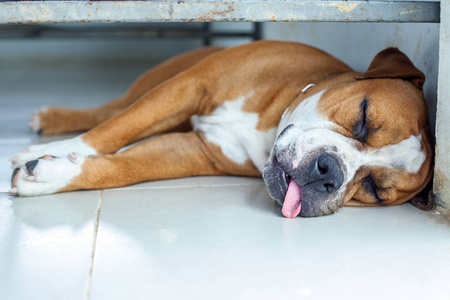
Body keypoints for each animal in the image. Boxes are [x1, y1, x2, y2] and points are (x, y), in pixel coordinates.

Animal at [8, 40, 434, 218]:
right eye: (362, 118)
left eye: (374, 189)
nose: (328, 172)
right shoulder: (187, 87)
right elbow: (112, 132)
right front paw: (47, 151)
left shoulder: (192, 151)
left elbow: (124, 167)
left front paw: (53, 174)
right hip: (157, 84)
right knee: (111, 112)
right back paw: (53, 121)